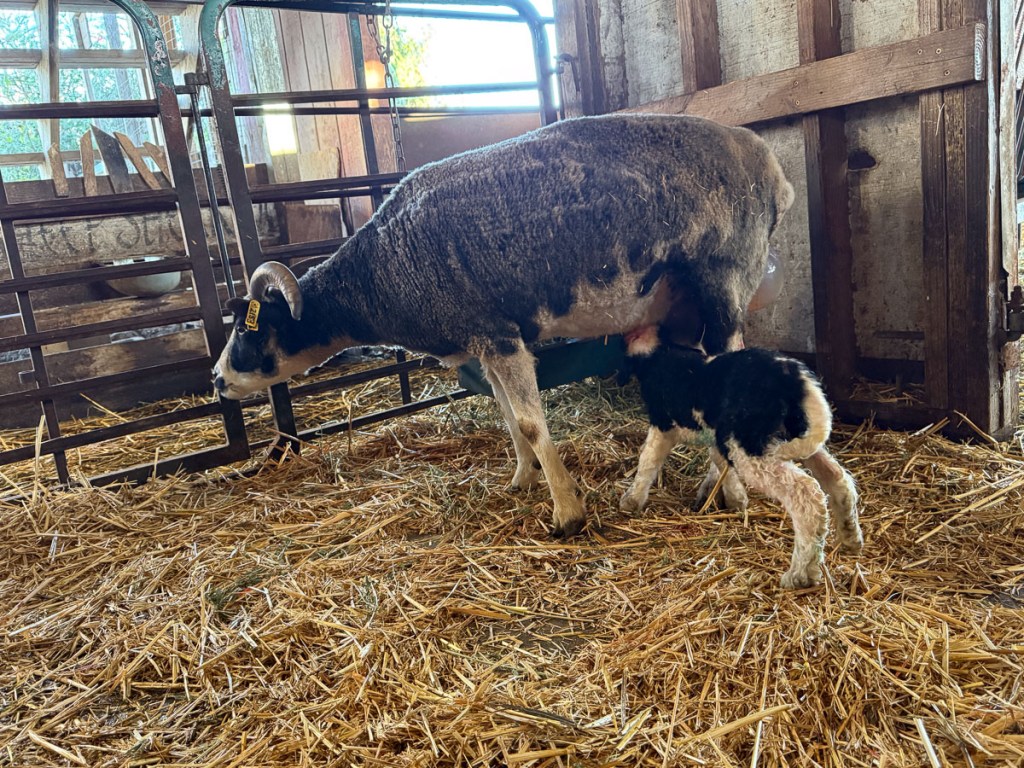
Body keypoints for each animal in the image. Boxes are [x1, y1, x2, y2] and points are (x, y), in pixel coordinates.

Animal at [212, 113, 796, 538]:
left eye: (246, 328)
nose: (217, 380)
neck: (385, 269)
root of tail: (769, 166)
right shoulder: (484, 342)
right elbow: (509, 419)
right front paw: (521, 479)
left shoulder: (500, 335)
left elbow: (533, 424)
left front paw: (567, 513)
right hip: (678, 308)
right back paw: (694, 487)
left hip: (724, 284)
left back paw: (730, 494)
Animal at [619, 325, 864, 588]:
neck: (659, 353)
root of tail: (798, 381)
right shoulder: (717, 436)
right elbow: (720, 463)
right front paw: (736, 500)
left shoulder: (662, 424)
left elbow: (648, 460)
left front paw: (631, 500)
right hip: (792, 437)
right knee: (838, 478)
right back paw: (850, 537)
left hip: (751, 446)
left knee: (806, 494)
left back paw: (800, 574)